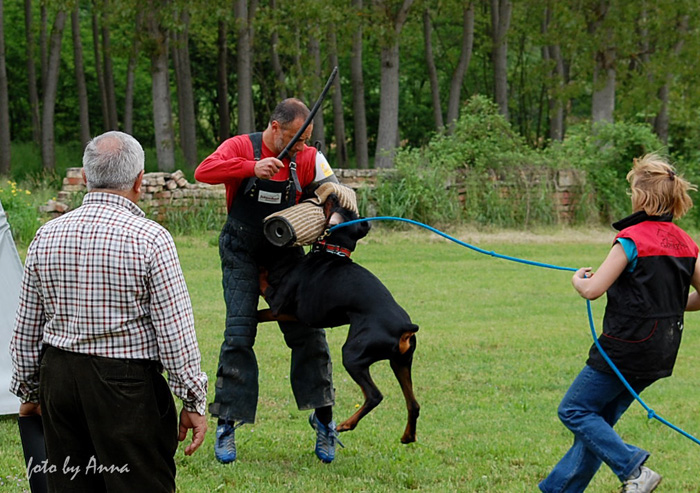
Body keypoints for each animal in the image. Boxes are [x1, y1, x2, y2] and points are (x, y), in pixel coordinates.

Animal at [258, 195, 420, 444]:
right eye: (347, 208)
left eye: (335, 206)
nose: (334, 195)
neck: (333, 251)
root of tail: (405, 327)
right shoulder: (293, 313)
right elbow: (262, 313)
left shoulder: (277, 302)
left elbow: (263, 280)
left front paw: (260, 265)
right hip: (401, 362)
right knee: (414, 404)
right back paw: (407, 436)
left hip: (353, 354)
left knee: (375, 395)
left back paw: (346, 424)